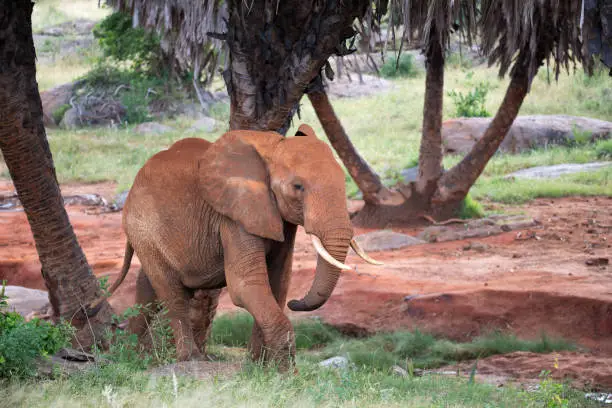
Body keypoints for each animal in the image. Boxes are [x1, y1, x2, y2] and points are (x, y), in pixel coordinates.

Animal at [93, 124, 380, 370]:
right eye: (298, 187)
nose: (297, 303)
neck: (272, 148)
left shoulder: (278, 218)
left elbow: (278, 282)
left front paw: (261, 367)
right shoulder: (233, 216)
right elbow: (246, 285)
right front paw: (285, 374)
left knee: (147, 290)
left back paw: (133, 356)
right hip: (143, 226)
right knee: (171, 293)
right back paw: (190, 359)